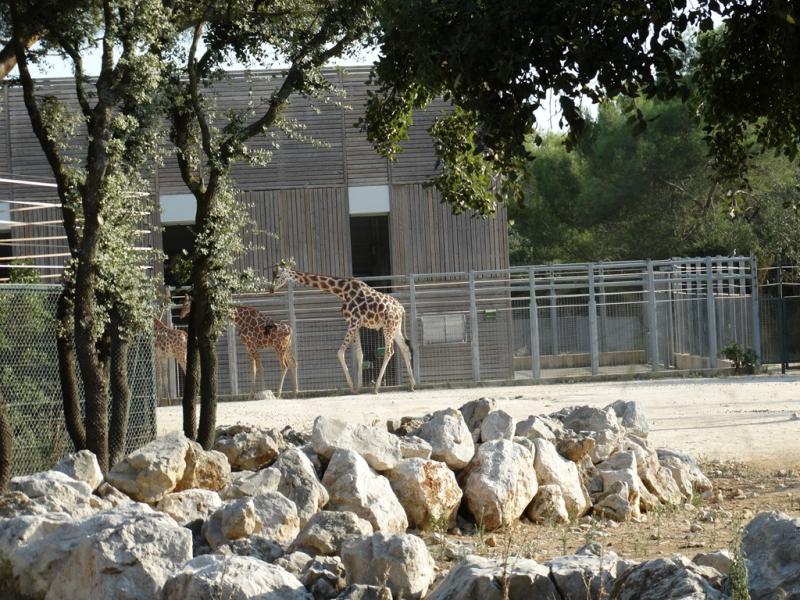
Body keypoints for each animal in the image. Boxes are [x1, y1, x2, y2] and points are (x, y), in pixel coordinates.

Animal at [271, 265, 415, 394]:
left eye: (277, 276)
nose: (271, 289)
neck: (343, 291)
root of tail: (402, 309)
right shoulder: (355, 324)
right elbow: (360, 354)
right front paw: (359, 386)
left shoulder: (353, 322)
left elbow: (340, 353)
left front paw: (351, 386)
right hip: (395, 328)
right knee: (405, 348)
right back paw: (412, 385)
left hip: (388, 327)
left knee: (389, 351)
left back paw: (376, 388)